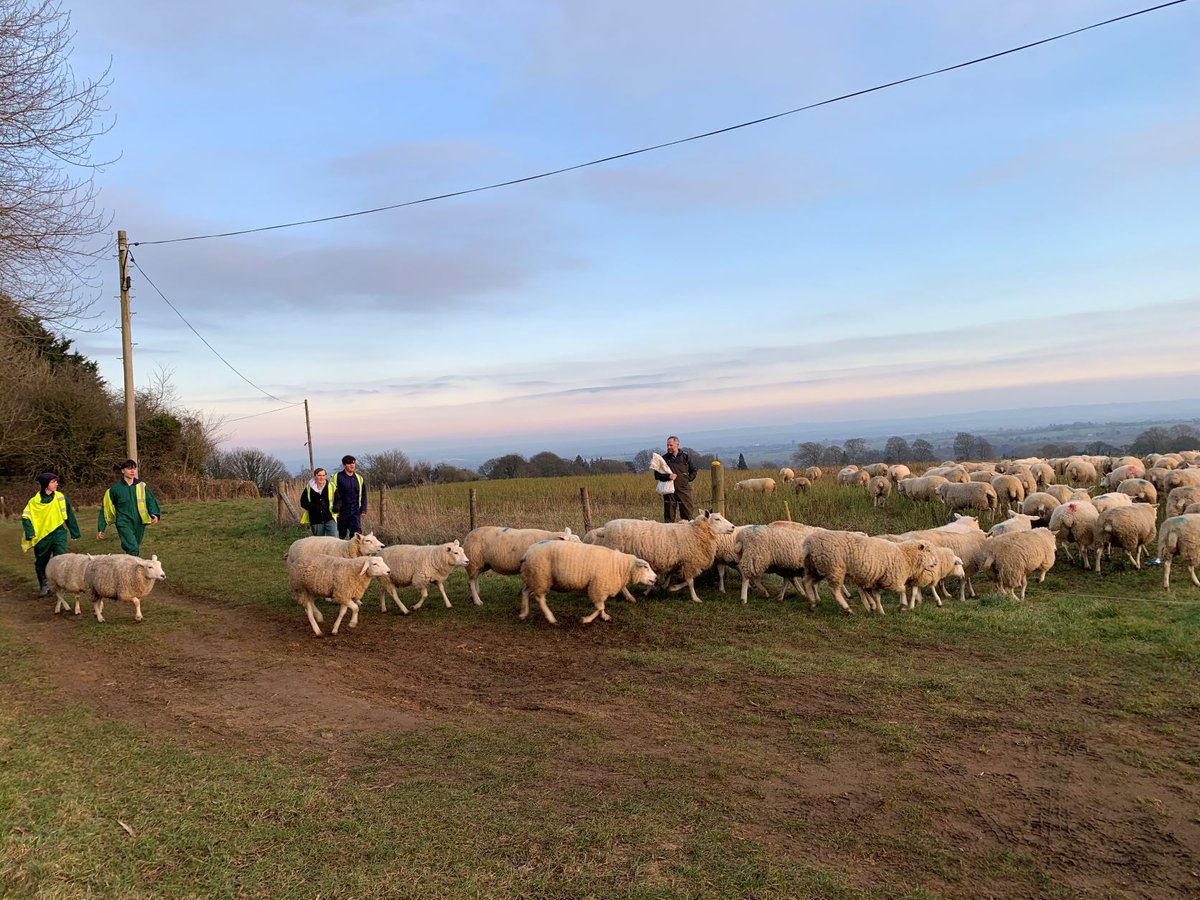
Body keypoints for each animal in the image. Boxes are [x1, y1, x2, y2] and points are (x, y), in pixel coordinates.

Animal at [518, 541, 657, 624]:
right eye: (645, 567)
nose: (655, 578)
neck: (620, 567)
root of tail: (528, 552)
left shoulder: (601, 588)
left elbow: (601, 606)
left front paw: (604, 616)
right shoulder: (598, 586)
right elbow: (600, 607)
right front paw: (586, 619)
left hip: (534, 577)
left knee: (525, 591)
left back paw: (523, 613)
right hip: (541, 577)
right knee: (540, 598)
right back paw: (551, 618)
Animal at [585, 510, 734, 603]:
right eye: (717, 519)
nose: (733, 527)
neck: (695, 532)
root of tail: (604, 529)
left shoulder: (676, 562)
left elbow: (675, 578)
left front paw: (665, 587)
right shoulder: (689, 561)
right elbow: (690, 581)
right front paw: (695, 598)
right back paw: (630, 597)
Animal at [802, 531, 937, 615]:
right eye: (929, 551)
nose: (936, 563)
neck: (904, 555)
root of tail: (809, 544)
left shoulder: (876, 580)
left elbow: (876, 596)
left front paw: (878, 610)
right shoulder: (891, 579)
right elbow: (902, 589)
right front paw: (903, 606)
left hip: (817, 568)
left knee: (806, 582)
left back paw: (812, 603)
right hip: (834, 568)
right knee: (834, 590)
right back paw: (847, 609)